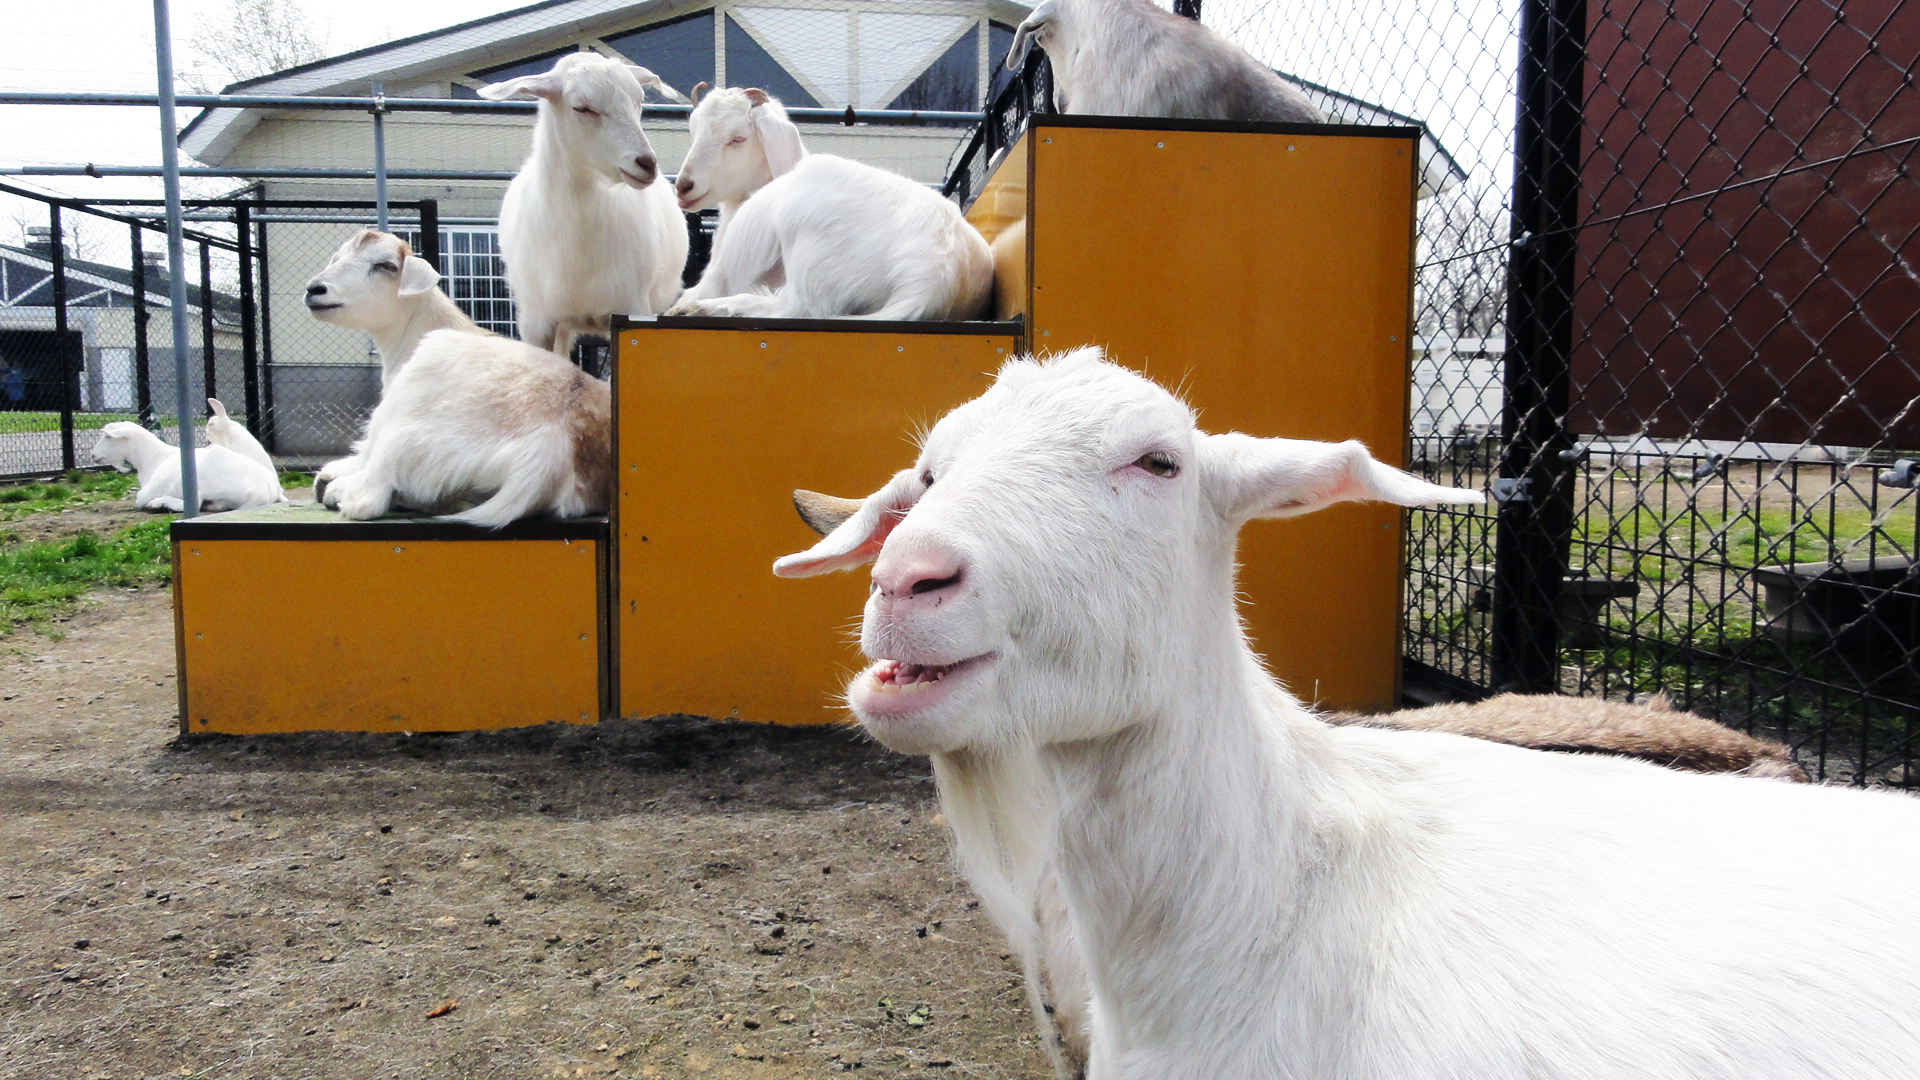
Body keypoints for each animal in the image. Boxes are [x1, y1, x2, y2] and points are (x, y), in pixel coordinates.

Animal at [94, 418, 282, 511]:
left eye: (108, 436)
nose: (93, 455)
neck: (154, 458)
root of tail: (266, 490)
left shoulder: (147, 492)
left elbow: (140, 500)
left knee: (192, 504)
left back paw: (158, 503)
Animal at [672, 87, 998, 319]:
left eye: (737, 139)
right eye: (694, 131)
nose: (683, 186)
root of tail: (932, 271)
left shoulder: (717, 275)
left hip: (809, 261)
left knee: (795, 307)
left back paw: (707, 308)